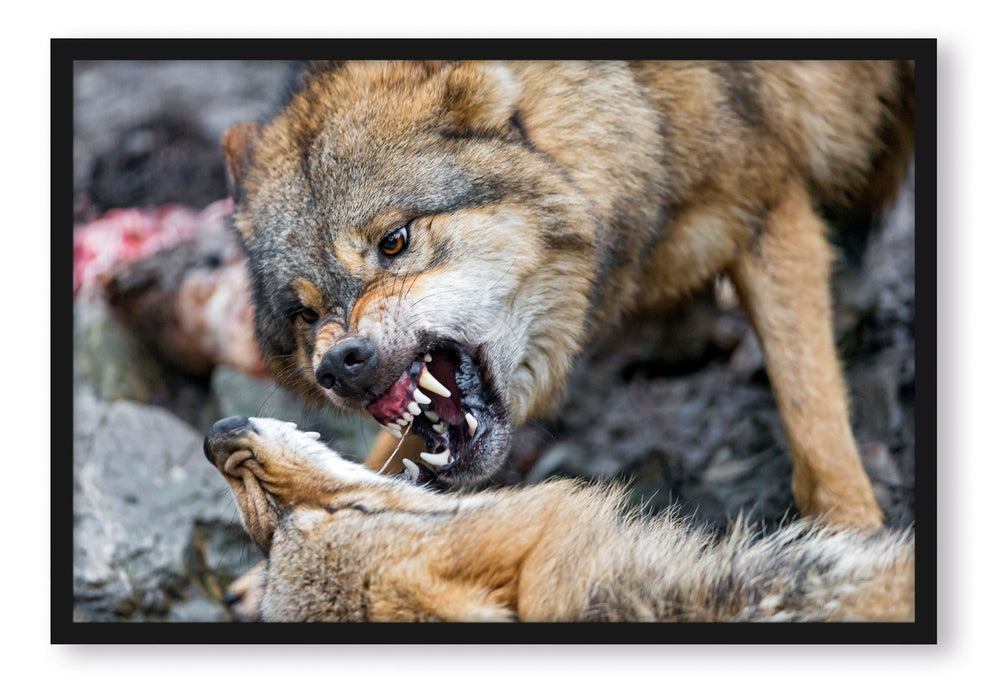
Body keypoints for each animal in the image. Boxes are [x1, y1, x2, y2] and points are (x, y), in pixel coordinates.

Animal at [221, 60, 914, 529]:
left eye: (394, 241)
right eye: (305, 314)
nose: (340, 364)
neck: (638, 110)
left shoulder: (770, 204)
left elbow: (809, 404)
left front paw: (851, 529)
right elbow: (391, 459)